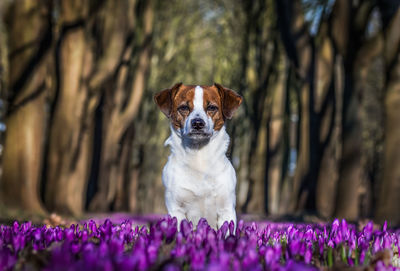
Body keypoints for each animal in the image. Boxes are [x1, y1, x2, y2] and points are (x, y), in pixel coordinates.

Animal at [153, 83, 241, 230]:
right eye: (184, 107)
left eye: (212, 107)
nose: (198, 123)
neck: (199, 157)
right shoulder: (176, 210)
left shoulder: (226, 210)